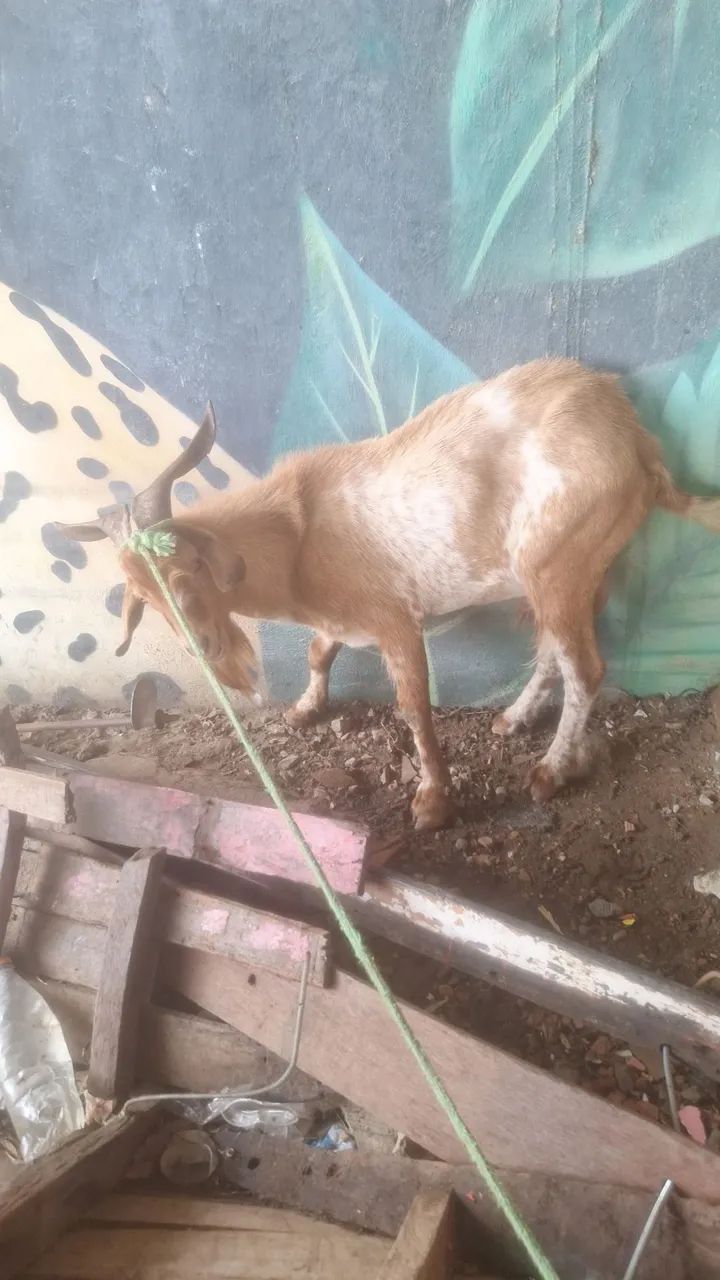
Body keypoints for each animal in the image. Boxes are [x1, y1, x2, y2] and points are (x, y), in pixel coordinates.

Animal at [59, 357, 720, 830]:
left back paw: (550, 772)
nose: (208, 649)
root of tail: (638, 444)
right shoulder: (340, 618)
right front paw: (305, 709)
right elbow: (318, 651)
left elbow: (414, 708)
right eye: (141, 598)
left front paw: (432, 802)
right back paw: (513, 719)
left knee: (586, 666)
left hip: (557, 563)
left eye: (187, 566)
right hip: (571, 573)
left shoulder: (395, 619)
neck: (297, 536)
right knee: (555, 649)